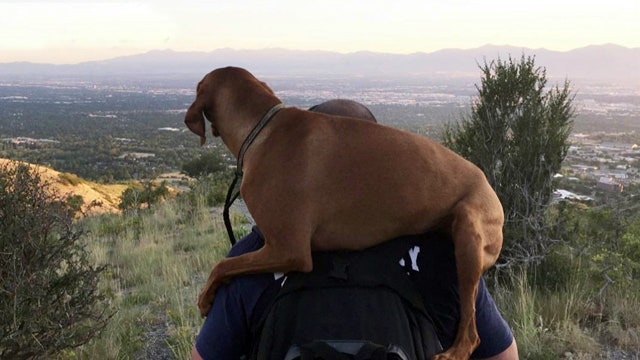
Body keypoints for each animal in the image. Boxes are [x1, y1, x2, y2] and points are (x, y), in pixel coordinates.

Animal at [182, 67, 502, 360]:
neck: (261, 128)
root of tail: (490, 186)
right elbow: (226, 264)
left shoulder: (289, 249)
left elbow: (223, 264)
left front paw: (205, 297)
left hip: (468, 231)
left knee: (471, 335)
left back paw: (454, 351)